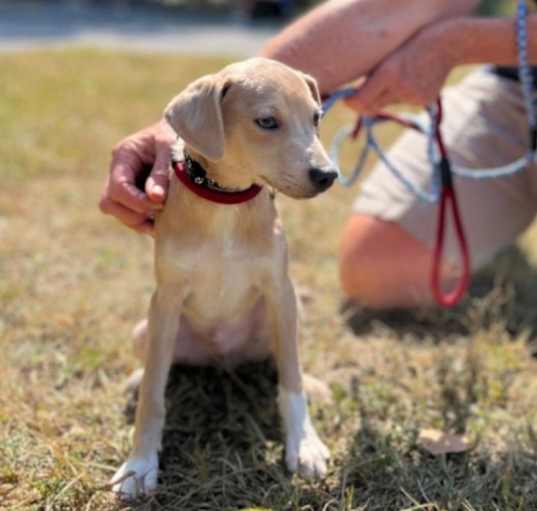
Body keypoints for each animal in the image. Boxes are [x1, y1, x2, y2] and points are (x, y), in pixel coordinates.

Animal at [111, 57, 338, 500]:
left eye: (316, 118)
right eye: (266, 121)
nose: (328, 175)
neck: (226, 202)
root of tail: (223, 359)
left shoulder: (280, 290)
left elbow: (291, 381)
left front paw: (304, 445)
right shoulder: (166, 299)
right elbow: (154, 394)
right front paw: (139, 465)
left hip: (287, 317)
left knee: (283, 363)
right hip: (144, 329)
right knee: (159, 366)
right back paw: (134, 378)